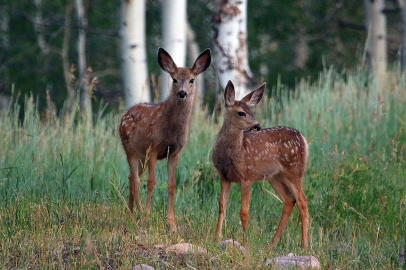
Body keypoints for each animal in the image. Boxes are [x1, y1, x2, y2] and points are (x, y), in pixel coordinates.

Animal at [119, 46, 211, 230]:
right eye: (174, 79)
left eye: (192, 80)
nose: (182, 93)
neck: (171, 130)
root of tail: (123, 116)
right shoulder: (153, 148)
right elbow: (151, 182)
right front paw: (147, 217)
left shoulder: (174, 152)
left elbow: (172, 185)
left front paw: (171, 223)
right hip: (130, 149)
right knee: (136, 180)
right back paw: (139, 213)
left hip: (141, 156)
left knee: (132, 176)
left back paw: (130, 212)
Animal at [211, 80, 310, 249]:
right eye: (241, 113)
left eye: (253, 112)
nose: (257, 126)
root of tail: (303, 138)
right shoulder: (224, 176)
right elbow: (221, 206)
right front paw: (217, 237)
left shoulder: (246, 176)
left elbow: (244, 211)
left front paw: (245, 242)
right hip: (274, 175)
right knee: (289, 200)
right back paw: (272, 244)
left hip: (293, 170)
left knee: (302, 202)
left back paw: (304, 246)